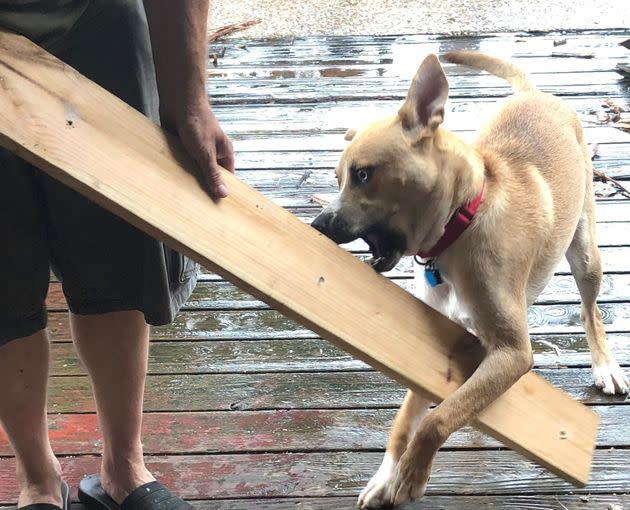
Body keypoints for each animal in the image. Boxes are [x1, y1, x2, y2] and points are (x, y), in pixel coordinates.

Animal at [312, 50, 630, 506]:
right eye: (339, 178)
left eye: (363, 175)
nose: (318, 225)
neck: (459, 227)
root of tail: (534, 94)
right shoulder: (429, 348)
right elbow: (408, 418)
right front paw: (386, 475)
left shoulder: (513, 353)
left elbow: (436, 419)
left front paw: (412, 474)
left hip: (585, 253)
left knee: (592, 314)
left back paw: (605, 365)